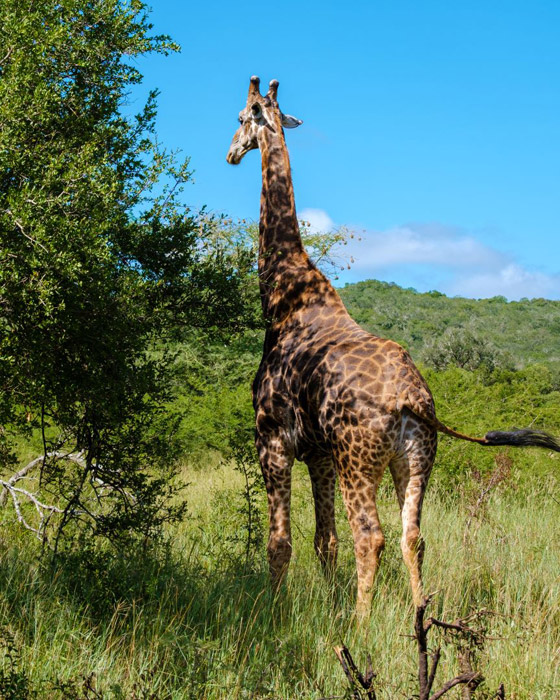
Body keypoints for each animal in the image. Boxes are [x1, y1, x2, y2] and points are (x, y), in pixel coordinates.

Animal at [225, 75, 556, 612]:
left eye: (239, 118)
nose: (231, 153)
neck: (283, 294)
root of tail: (410, 397)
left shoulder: (272, 438)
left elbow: (280, 542)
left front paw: (275, 614)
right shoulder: (318, 452)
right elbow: (324, 541)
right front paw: (327, 607)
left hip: (358, 458)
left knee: (371, 536)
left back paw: (361, 624)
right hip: (416, 458)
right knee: (413, 536)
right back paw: (419, 616)